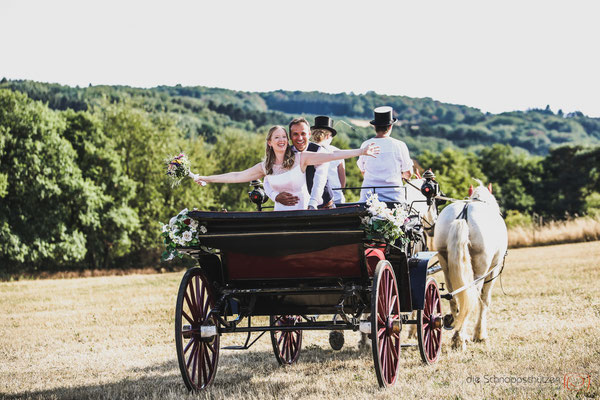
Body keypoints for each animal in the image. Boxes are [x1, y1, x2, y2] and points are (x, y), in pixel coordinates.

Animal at [434, 181, 508, 350]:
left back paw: (457, 333)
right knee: (470, 295)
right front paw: (480, 335)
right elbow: (485, 300)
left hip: (446, 265)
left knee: (454, 297)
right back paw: (460, 338)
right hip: (480, 270)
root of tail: (464, 213)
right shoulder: (492, 270)